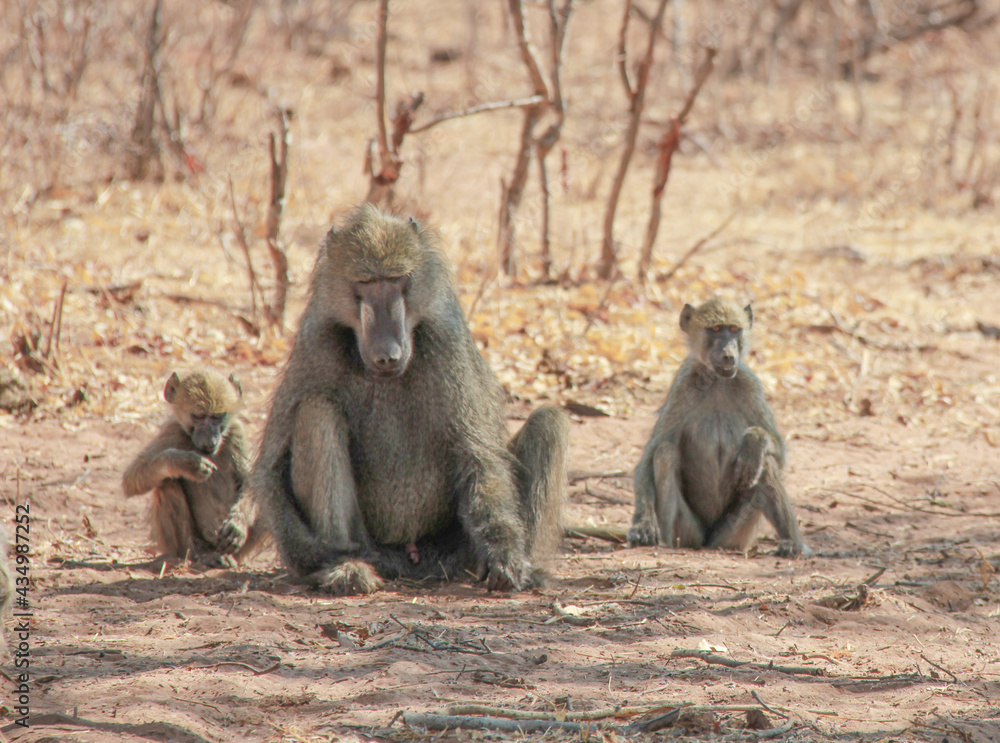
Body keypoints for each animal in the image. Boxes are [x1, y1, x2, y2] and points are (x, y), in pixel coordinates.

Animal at [122, 369, 265, 565]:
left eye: (217, 416)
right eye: (198, 416)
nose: (210, 441)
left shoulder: (237, 433)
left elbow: (252, 481)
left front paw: (238, 524)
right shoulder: (173, 431)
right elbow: (131, 478)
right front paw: (186, 463)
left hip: (237, 549)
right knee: (167, 484)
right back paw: (192, 556)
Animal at [248, 204, 569, 595]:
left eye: (397, 280)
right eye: (366, 284)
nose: (388, 354)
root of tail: (411, 560)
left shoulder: (446, 343)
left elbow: (478, 455)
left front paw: (506, 556)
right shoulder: (314, 344)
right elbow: (270, 464)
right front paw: (312, 555)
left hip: (457, 550)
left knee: (549, 423)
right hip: (372, 545)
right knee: (316, 410)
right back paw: (348, 568)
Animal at [627, 297, 811, 558]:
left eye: (734, 329)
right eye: (715, 330)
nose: (728, 355)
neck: (716, 381)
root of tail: (709, 542)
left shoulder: (749, 383)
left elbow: (778, 452)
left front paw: (754, 442)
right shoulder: (682, 388)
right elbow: (649, 457)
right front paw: (642, 524)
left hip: (734, 535)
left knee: (765, 462)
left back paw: (792, 543)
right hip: (689, 532)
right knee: (665, 453)